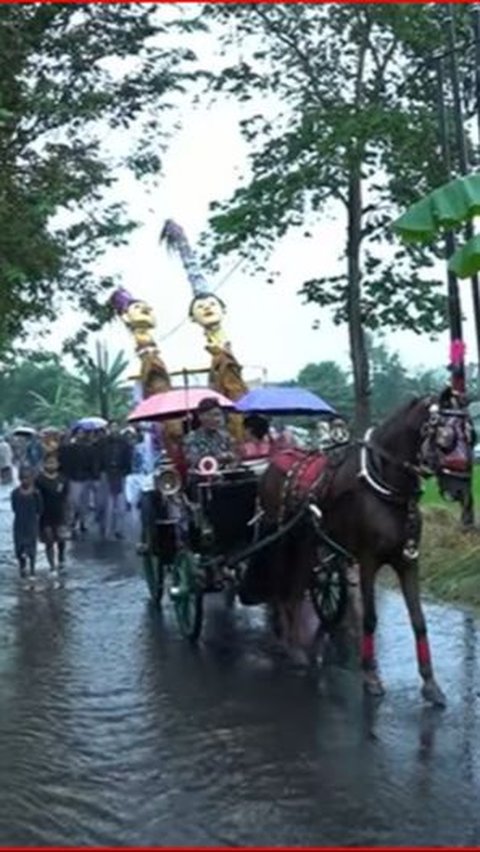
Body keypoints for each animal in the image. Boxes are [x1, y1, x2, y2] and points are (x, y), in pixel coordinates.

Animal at [253, 392, 470, 704]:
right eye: (445, 438)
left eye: (471, 434)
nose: (461, 489)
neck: (385, 488)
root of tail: (275, 462)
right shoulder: (368, 561)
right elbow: (369, 618)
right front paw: (370, 677)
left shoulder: (408, 561)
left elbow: (419, 620)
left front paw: (430, 684)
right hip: (283, 540)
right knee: (283, 585)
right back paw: (289, 645)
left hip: (309, 543)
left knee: (297, 584)